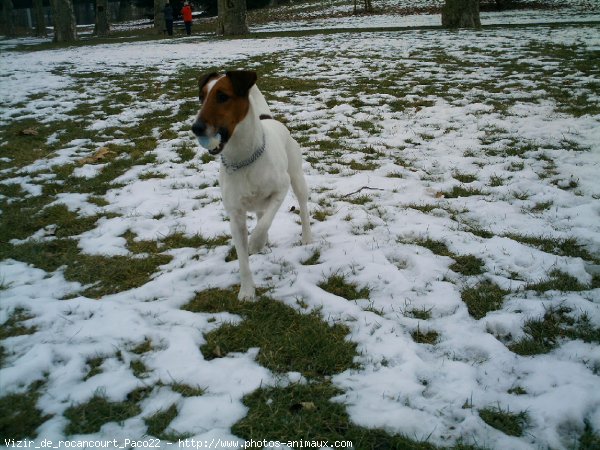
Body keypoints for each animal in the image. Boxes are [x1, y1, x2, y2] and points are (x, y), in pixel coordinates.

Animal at [192, 70, 314, 300]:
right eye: (201, 97)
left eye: (222, 96)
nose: (196, 128)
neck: (242, 159)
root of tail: (268, 119)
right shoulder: (235, 216)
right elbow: (243, 260)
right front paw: (247, 291)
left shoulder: (280, 189)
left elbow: (263, 225)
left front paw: (256, 243)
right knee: (260, 214)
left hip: (297, 178)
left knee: (301, 208)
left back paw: (306, 238)